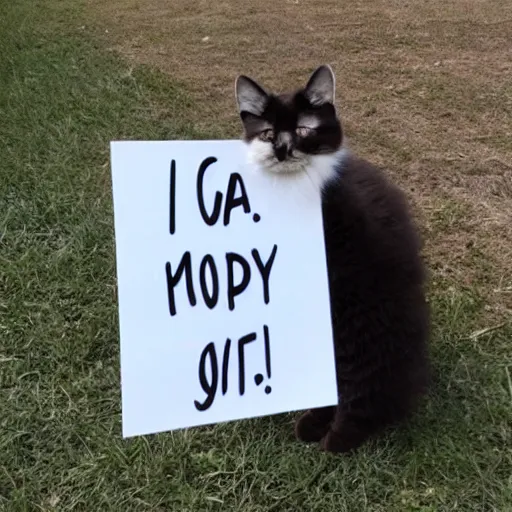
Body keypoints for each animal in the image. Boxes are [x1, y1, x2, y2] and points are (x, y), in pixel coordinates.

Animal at [234, 64, 430, 452]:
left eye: (303, 129)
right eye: (267, 133)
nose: (282, 149)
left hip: (361, 324)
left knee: (362, 383)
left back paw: (337, 436)